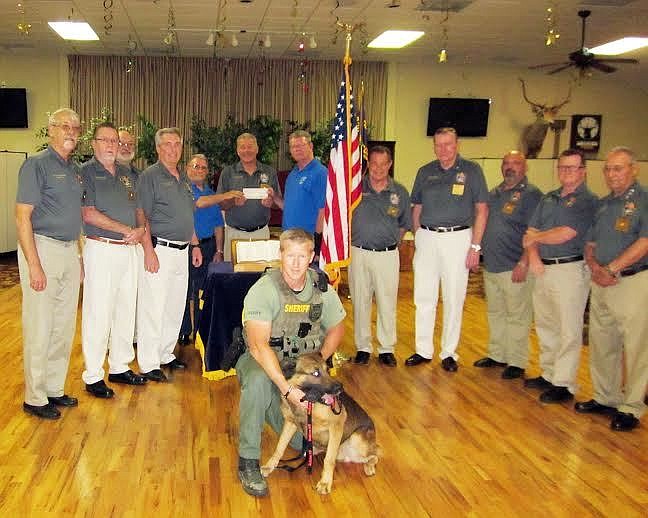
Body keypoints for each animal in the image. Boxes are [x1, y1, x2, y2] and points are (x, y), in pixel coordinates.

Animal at [260, 354, 378, 496]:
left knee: (375, 455)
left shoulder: (336, 426)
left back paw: (369, 467)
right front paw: (270, 465)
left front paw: (325, 483)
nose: (340, 388)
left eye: (327, 370)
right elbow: (279, 447)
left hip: (356, 439)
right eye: (315, 373)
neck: (309, 404)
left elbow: (329, 460)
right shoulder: (290, 423)